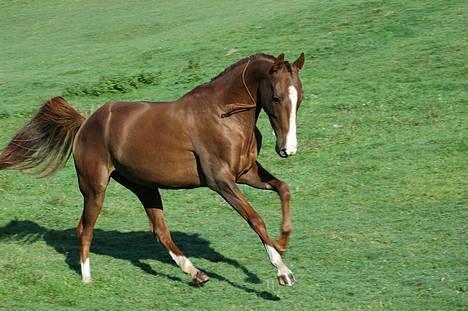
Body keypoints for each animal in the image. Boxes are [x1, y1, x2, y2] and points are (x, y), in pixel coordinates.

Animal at [0, 53, 306, 288]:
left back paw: (196, 273)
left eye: (299, 98)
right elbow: (255, 219)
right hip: (95, 188)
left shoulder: (246, 173)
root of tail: (85, 123)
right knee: (85, 229)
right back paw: (87, 278)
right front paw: (283, 272)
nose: (288, 150)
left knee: (159, 231)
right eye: (276, 97)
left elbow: (283, 188)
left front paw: (283, 241)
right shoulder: (221, 181)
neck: (223, 115)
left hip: (144, 186)